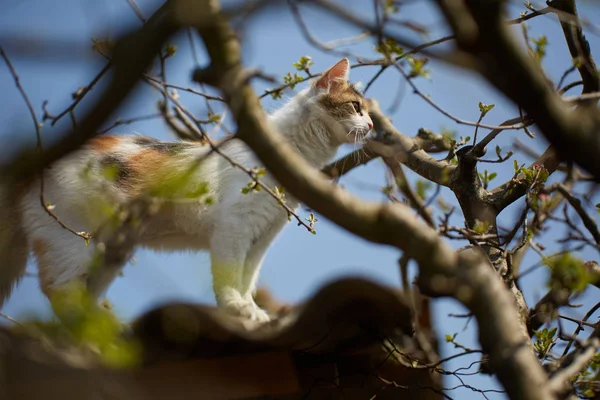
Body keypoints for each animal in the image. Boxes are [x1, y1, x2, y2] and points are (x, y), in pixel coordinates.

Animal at [0, 57, 372, 322]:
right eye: (356, 107)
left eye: (369, 113)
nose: (370, 126)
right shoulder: (233, 229)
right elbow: (229, 276)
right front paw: (235, 307)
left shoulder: (262, 236)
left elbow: (247, 277)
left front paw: (251, 310)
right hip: (71, 241)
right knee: (60, 292)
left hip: (109, 254)